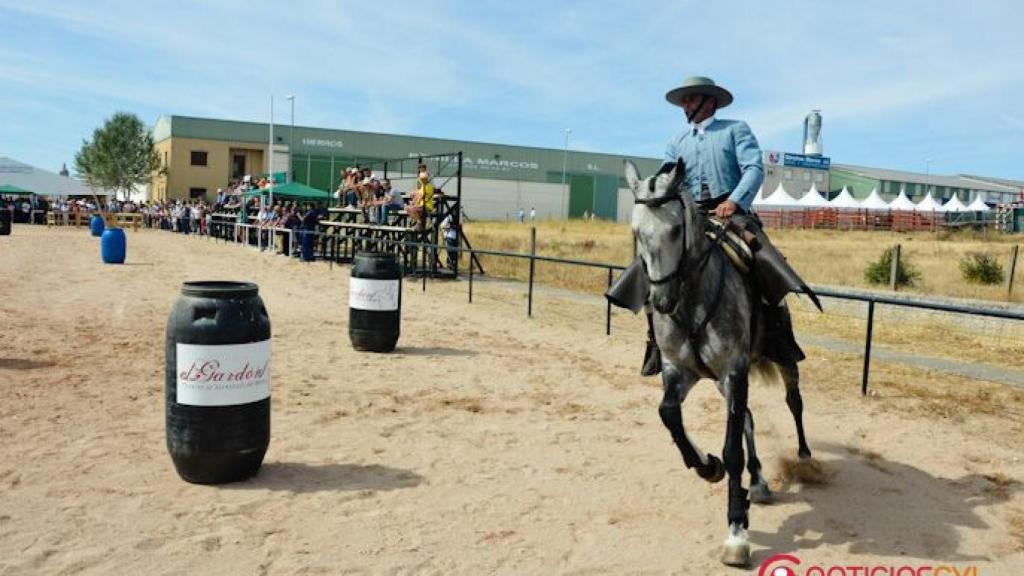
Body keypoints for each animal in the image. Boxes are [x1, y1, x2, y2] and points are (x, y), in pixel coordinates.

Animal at [626, 158, 811, 561]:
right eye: (636, 230)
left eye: (676, 229)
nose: (661, 301)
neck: (690, 299)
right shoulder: (680, 371)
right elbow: (669, 415)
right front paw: (706, 465)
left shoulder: (734, 371)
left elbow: (732, 451)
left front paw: (737, 531)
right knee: (749, 420)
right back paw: (758, 481)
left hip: (781, 360)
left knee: (794, 401)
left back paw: (804, 455)